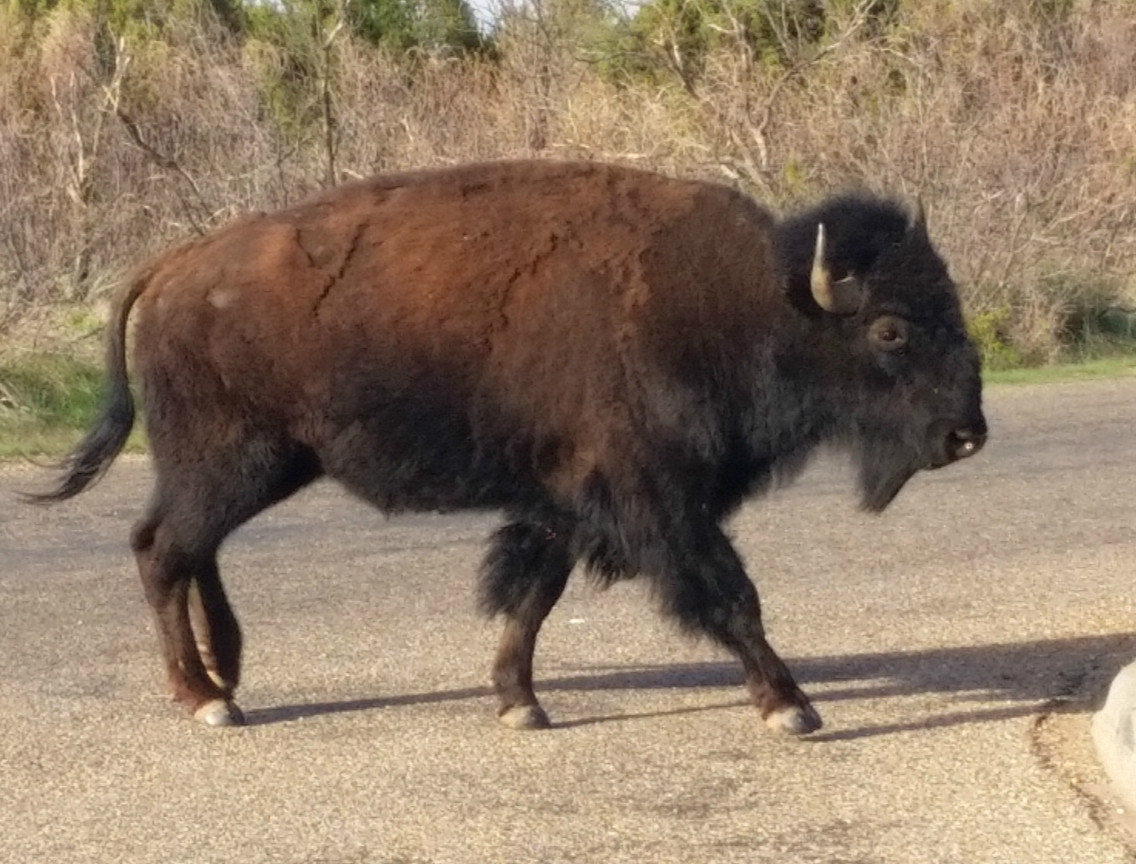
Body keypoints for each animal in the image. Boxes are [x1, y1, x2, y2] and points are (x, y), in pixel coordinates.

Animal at [30, 160, 986, 735]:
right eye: (891, 329)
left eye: (952, 306)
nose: (966, 433)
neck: (754, 300)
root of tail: (177, 262)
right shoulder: (656, 500)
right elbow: (731, 596)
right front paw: (792, 707)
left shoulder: (566, 499)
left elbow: (533, 596)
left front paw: (520, 704)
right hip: (230, 461)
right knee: (163, 551)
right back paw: (205, 701)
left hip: (258, 465)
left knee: (190, 552)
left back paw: (225, 680)